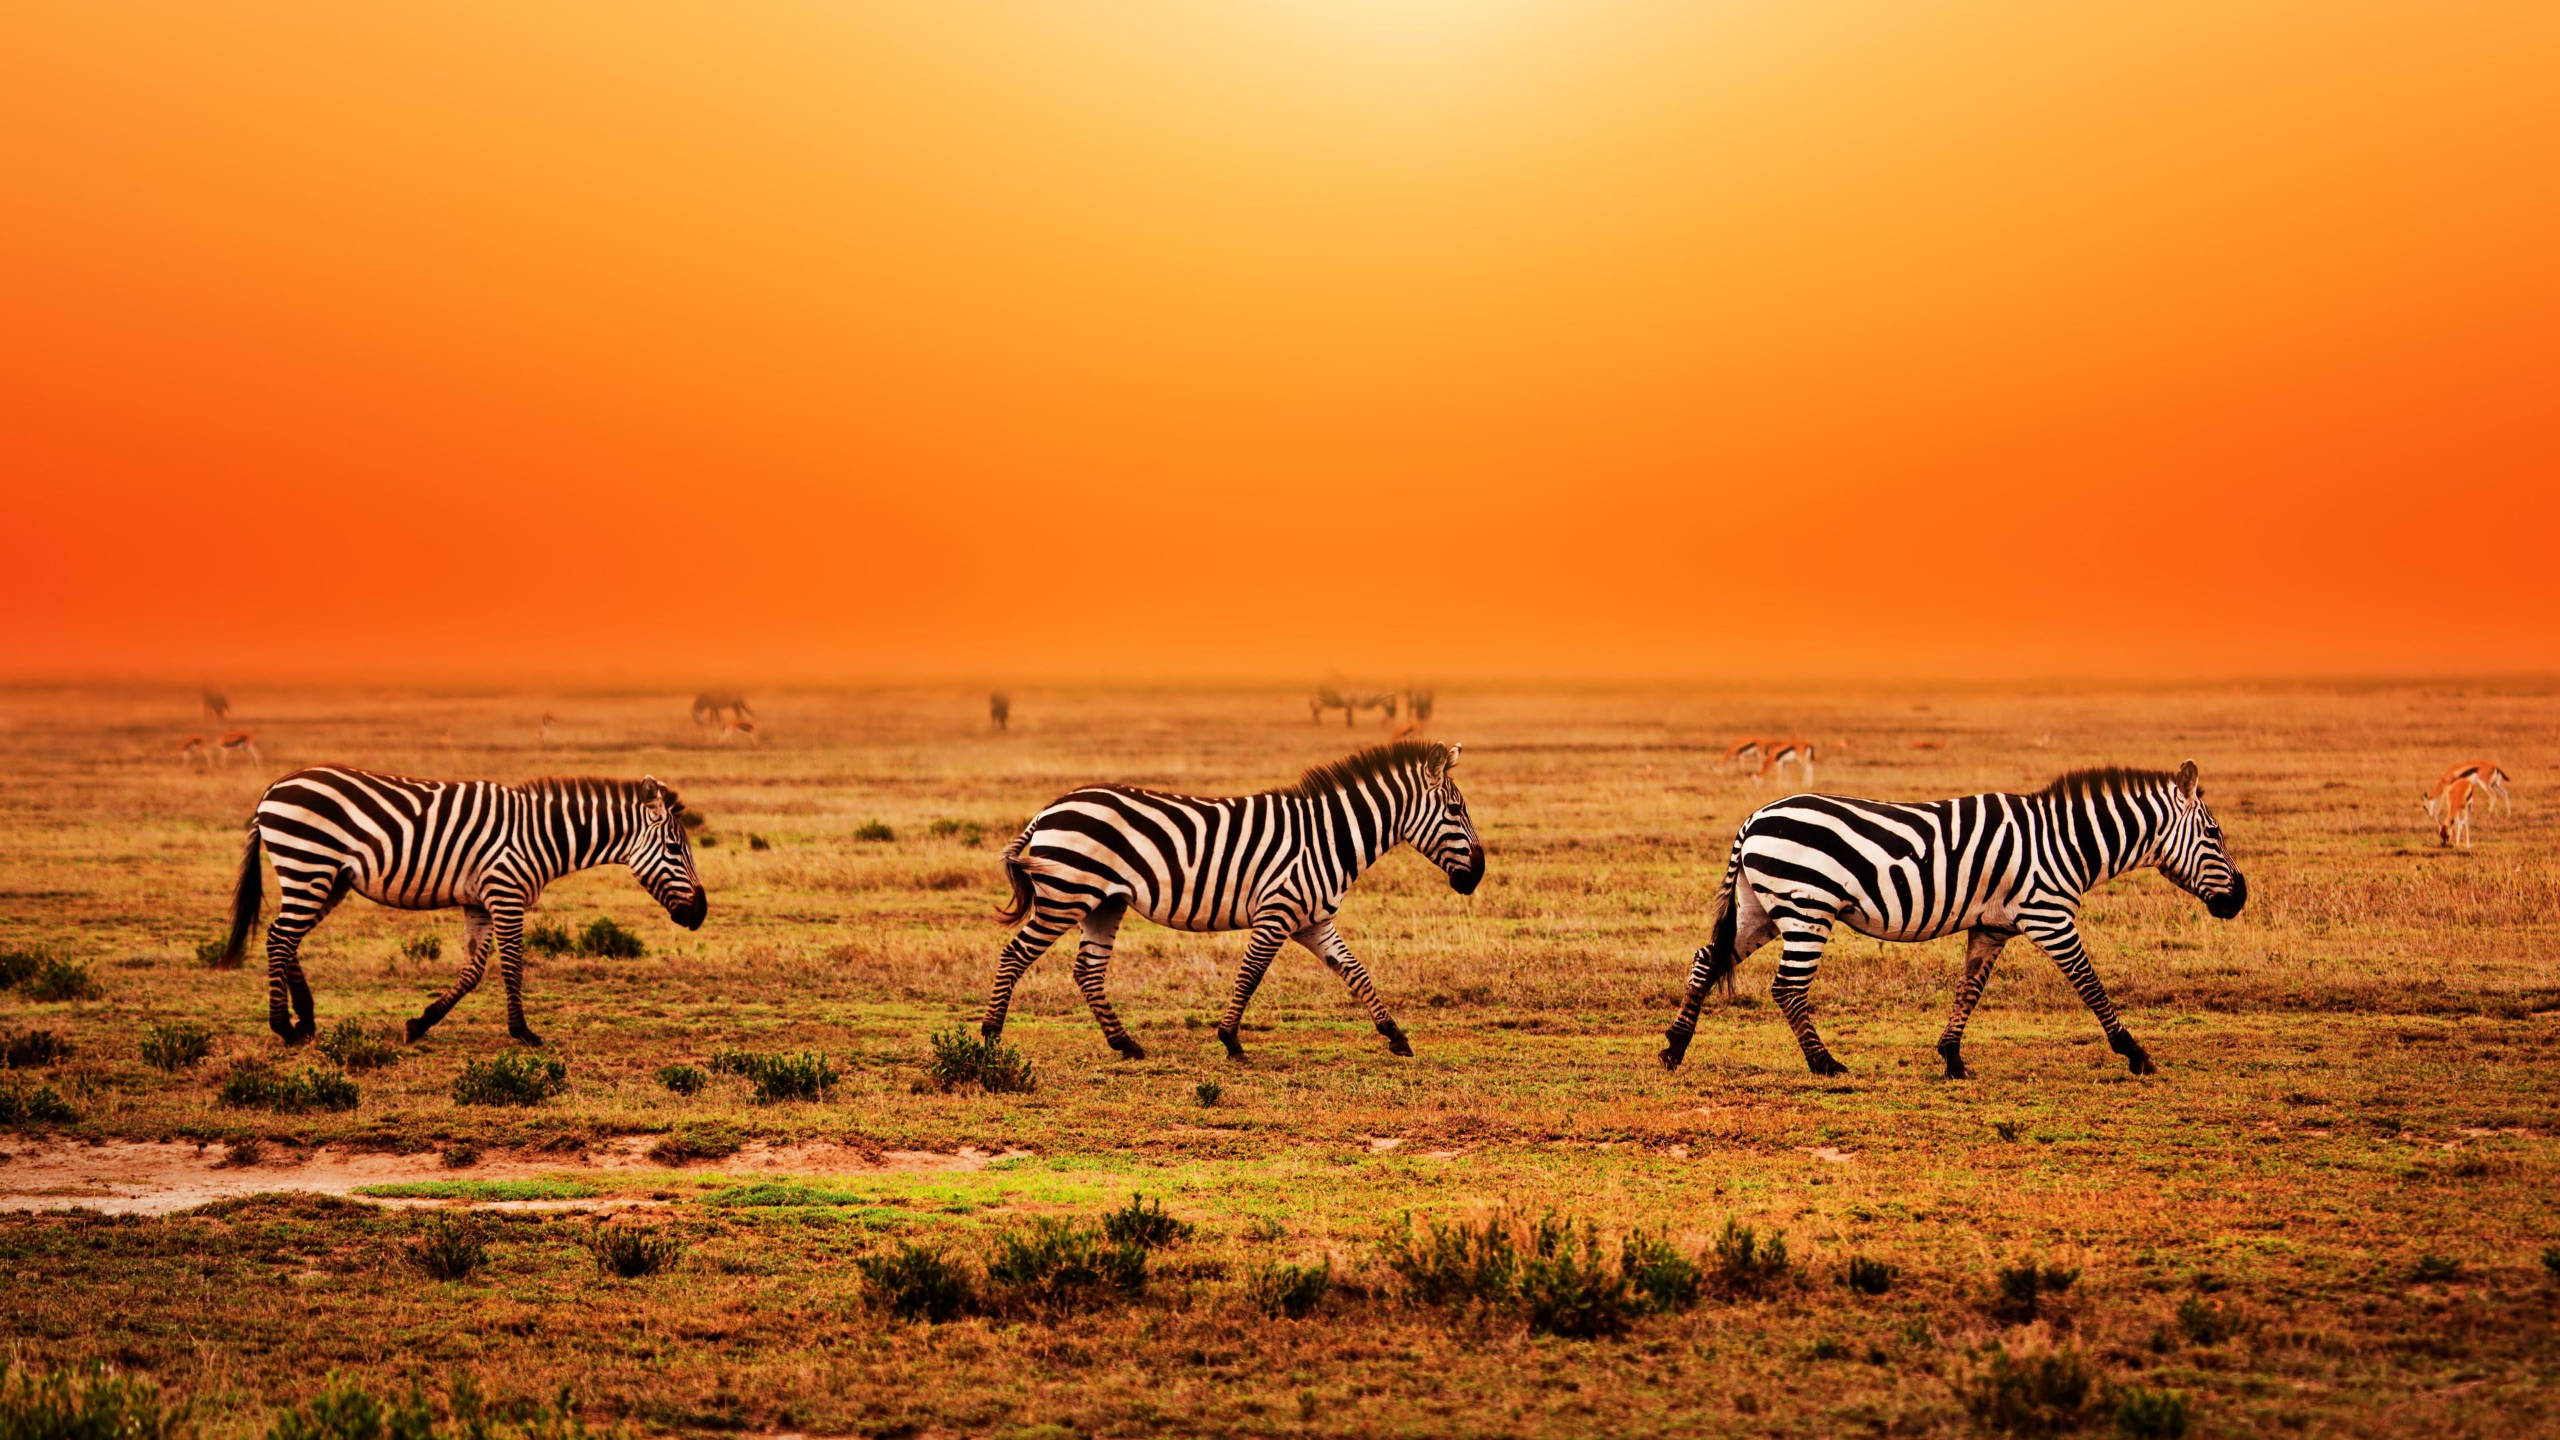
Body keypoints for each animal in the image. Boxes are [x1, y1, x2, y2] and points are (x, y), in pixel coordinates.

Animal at [220, 767, 707, 1045]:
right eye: (673, 847)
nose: (700, 914)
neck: (541, 835)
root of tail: (273, 788)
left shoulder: (479, 902)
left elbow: (472, 971)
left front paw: (420, 1023)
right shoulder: (506, 893)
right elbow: (512, 966)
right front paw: (523, 1033)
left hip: (326, 878)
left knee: (287, 938)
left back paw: (305, 1020)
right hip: (308, 863)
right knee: (279, 937)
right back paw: (284, 1026)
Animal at [983, 739, 1484, 1062]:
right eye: (1455, 810)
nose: (1477, 875)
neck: (1328, 838)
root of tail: (1049, 809)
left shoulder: (1313, 921)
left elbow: (1355, 972)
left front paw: (1396, 1036)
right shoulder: (1277, 912)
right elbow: (1252, 973)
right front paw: (1230, 1040)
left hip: (1103, 902)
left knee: (1087, 970)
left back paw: (1126, 1044)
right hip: (1066, 895)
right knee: (1015, 955)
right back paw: (990, 1036)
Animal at [1660, 762, 2245, 1080]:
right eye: (2215, 834)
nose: (2239, 899)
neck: (2067, 842)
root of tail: (1754, 817)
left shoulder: (1992, 925)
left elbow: (1969, 989)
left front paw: (1952, 1058)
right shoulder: (2049, 915)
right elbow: (2091, 985)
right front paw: (2135, 1053)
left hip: (1760, 908)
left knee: (1708, 958)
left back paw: (1674, 1047)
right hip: (1806, 907)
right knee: (1786, 987)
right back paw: (1825, 1064)